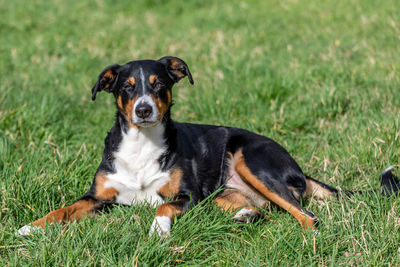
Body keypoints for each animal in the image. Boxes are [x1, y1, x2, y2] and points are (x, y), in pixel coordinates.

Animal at [18, 56, 400, 237]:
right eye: (126, 87)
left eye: (159, 85)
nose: (144, 110)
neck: (142, 144)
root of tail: (299, 169)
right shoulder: (98, 196)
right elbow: (63, 210)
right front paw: (31, 228)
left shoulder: (186, 196)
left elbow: (162, 206)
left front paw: (158, 230)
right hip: (220, 192)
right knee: (261, 209)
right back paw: (246, 216)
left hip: (250, 159)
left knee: (307, 217)